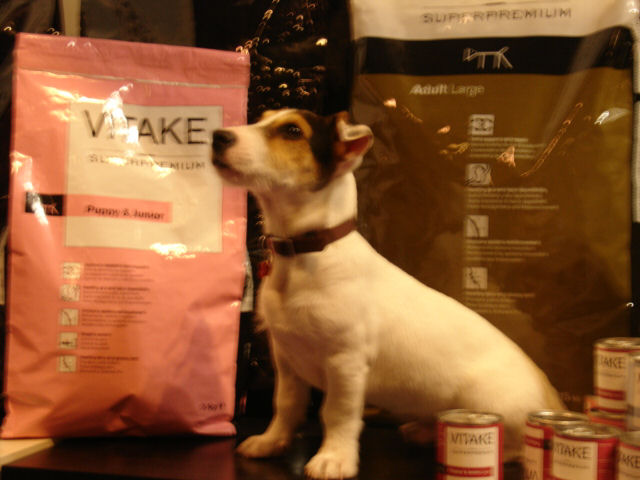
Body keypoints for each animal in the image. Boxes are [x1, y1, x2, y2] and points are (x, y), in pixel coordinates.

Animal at [211, 109, 564, 479]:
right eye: (262, 118)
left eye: (293, 131)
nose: (218, 137)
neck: (308, 253)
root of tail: (554, 398)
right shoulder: (286, 358)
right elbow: (286, 405)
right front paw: (271, 441)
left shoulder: (346, 363)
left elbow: (336, 414)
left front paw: (334, 457)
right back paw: (423, 429)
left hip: (489, 403)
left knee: (515, 447)